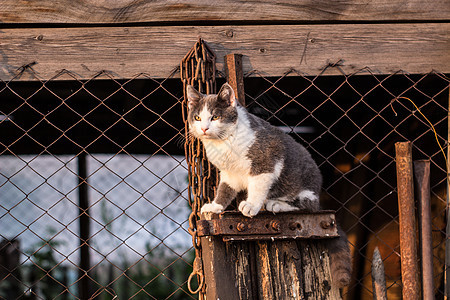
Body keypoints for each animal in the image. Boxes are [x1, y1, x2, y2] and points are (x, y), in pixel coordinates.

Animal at [185, 82, 352, 288]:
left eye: (215, 116)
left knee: (307, 206)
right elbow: (225, 189)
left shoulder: (265, 161)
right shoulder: (229, 174)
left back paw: (276, 204)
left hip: (304, 191)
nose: (204, 128)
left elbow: (257, 186)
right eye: (197, 117)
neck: (224, 142)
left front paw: (250, 205)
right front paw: (215, 206)